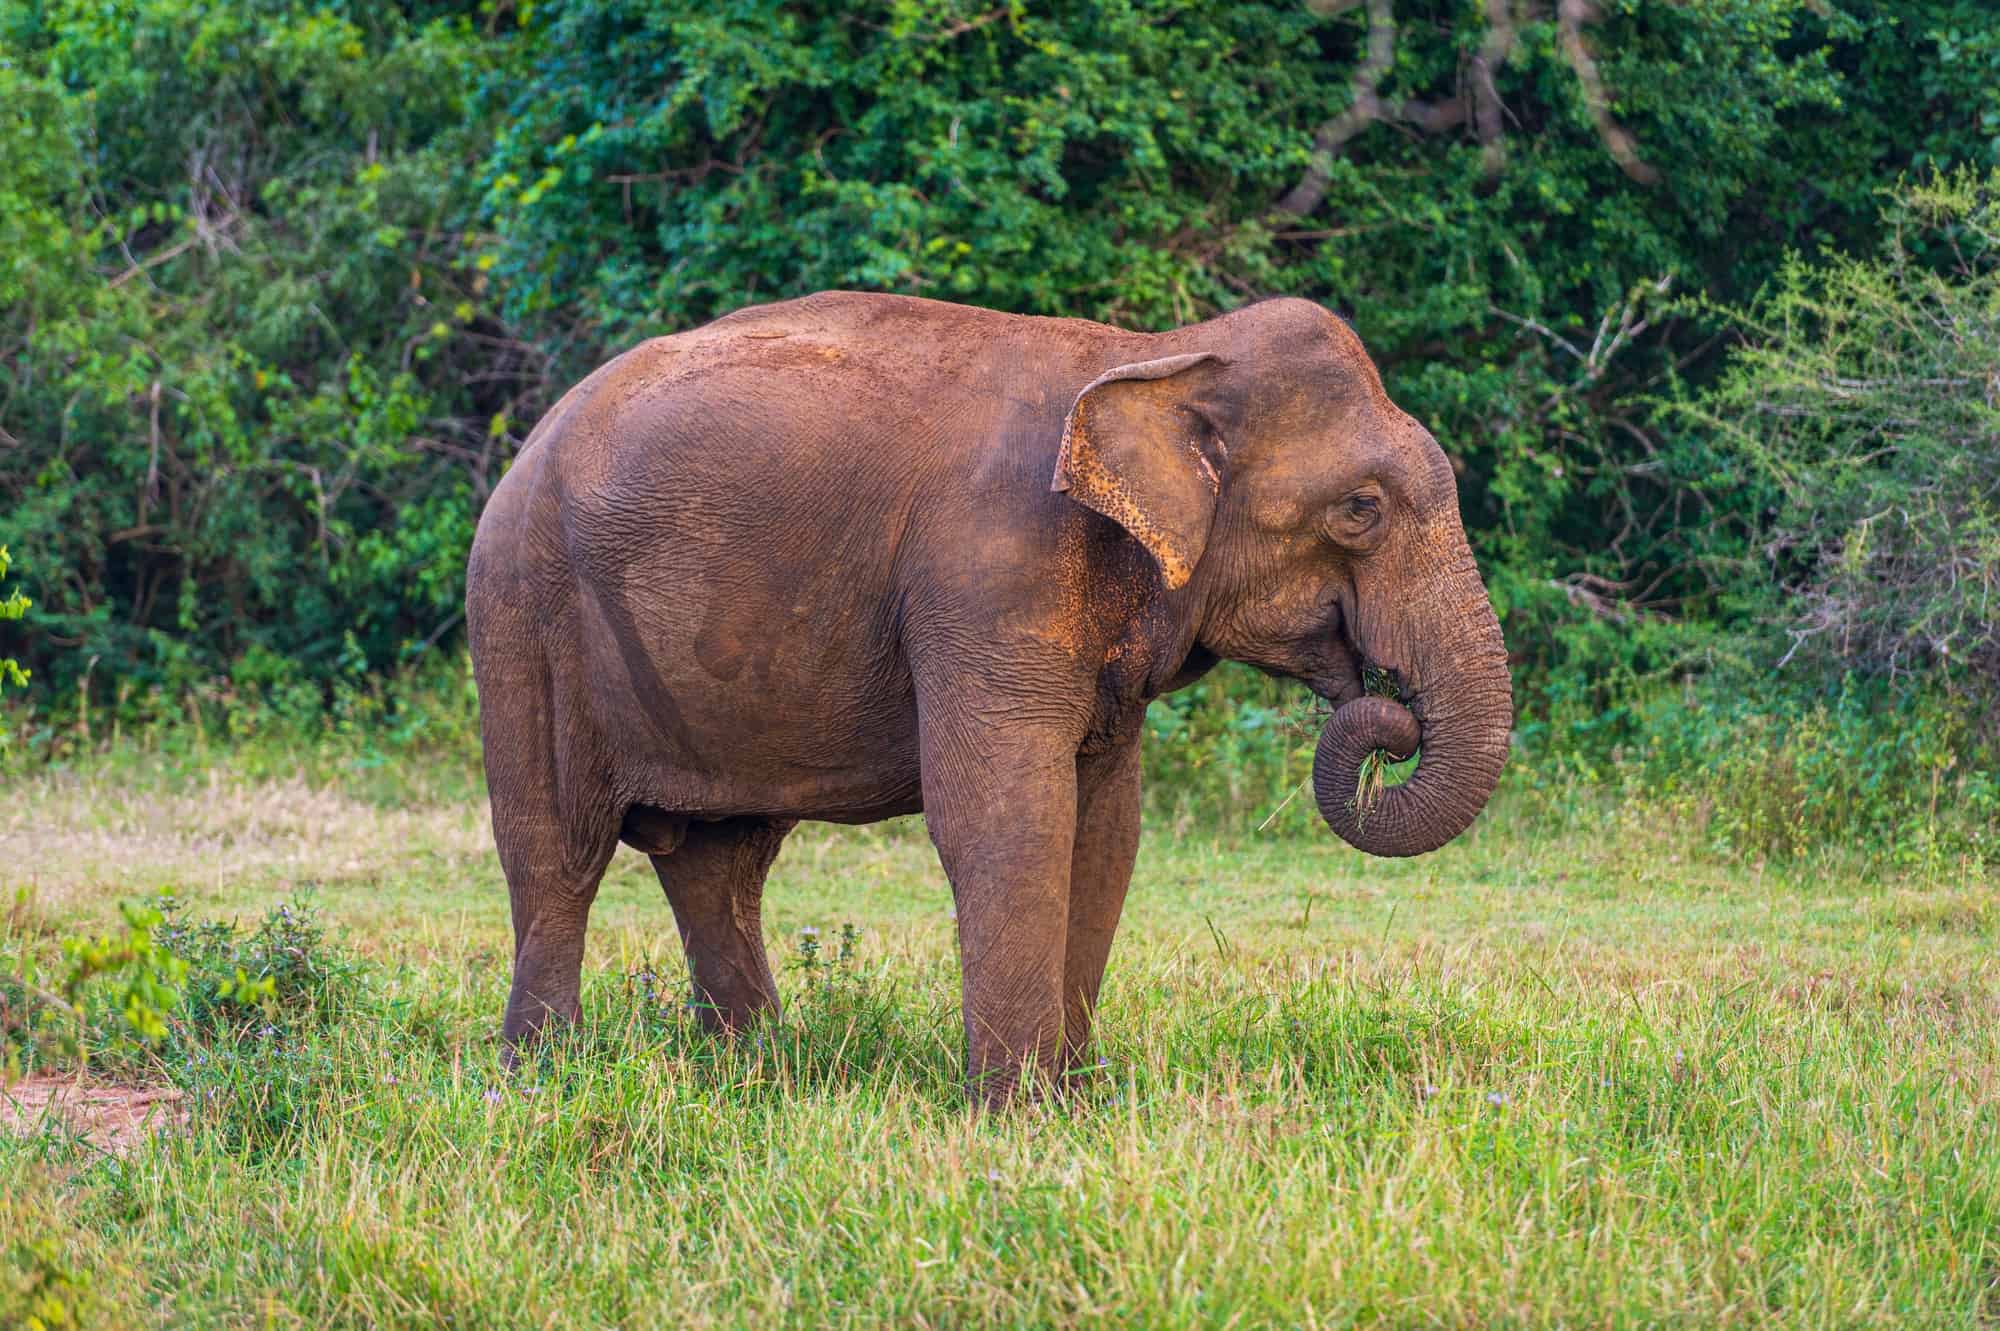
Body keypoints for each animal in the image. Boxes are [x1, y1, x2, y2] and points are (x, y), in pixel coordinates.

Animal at [464, 289, 1504, 1095]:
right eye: (1361, 510)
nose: (1385, 712)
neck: (1153, 355)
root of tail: (528, 445)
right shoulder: (988, 574)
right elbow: (1008, 817)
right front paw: (1018, 1114)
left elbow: (1106, 829)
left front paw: (1078, 1099)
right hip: (525, 615)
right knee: (557, 853)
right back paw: (542, 1079)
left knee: (720, 862)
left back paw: (758, 1071)